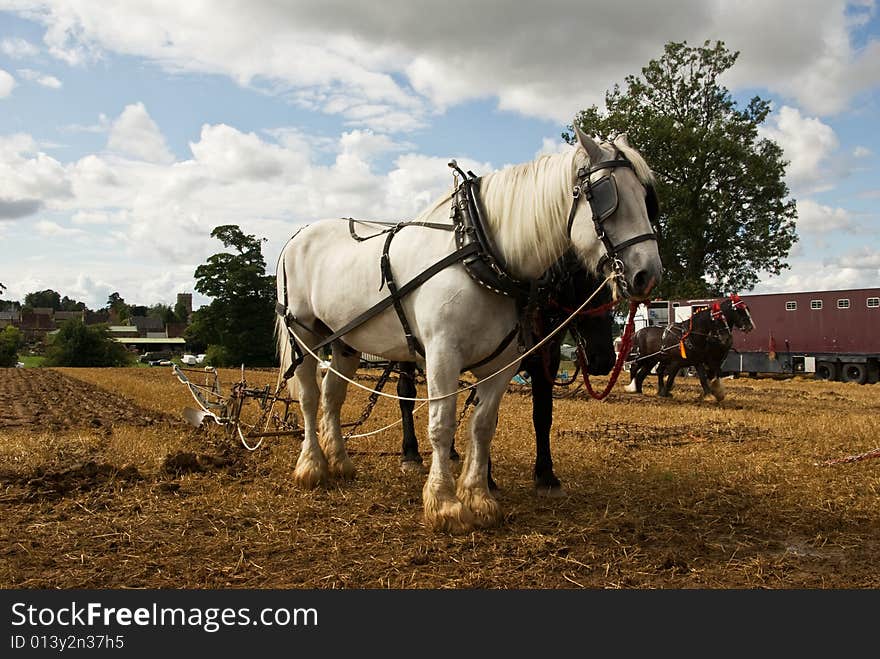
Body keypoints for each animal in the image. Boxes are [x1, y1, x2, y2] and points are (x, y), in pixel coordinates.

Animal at [276, 126, 660, 532]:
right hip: (304, 333)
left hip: (345, 342)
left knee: (332, 396)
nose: (647, 274)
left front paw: (479, 497)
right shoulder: (443, 354)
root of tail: (297, 235)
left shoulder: (503, 363)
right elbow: (442, 424)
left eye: (646, 198)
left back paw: (340, 462)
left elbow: (483, 425)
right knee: (309, 397)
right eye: (606, 196)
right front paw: (444, 503)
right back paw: (312, 467)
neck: (481, 252)